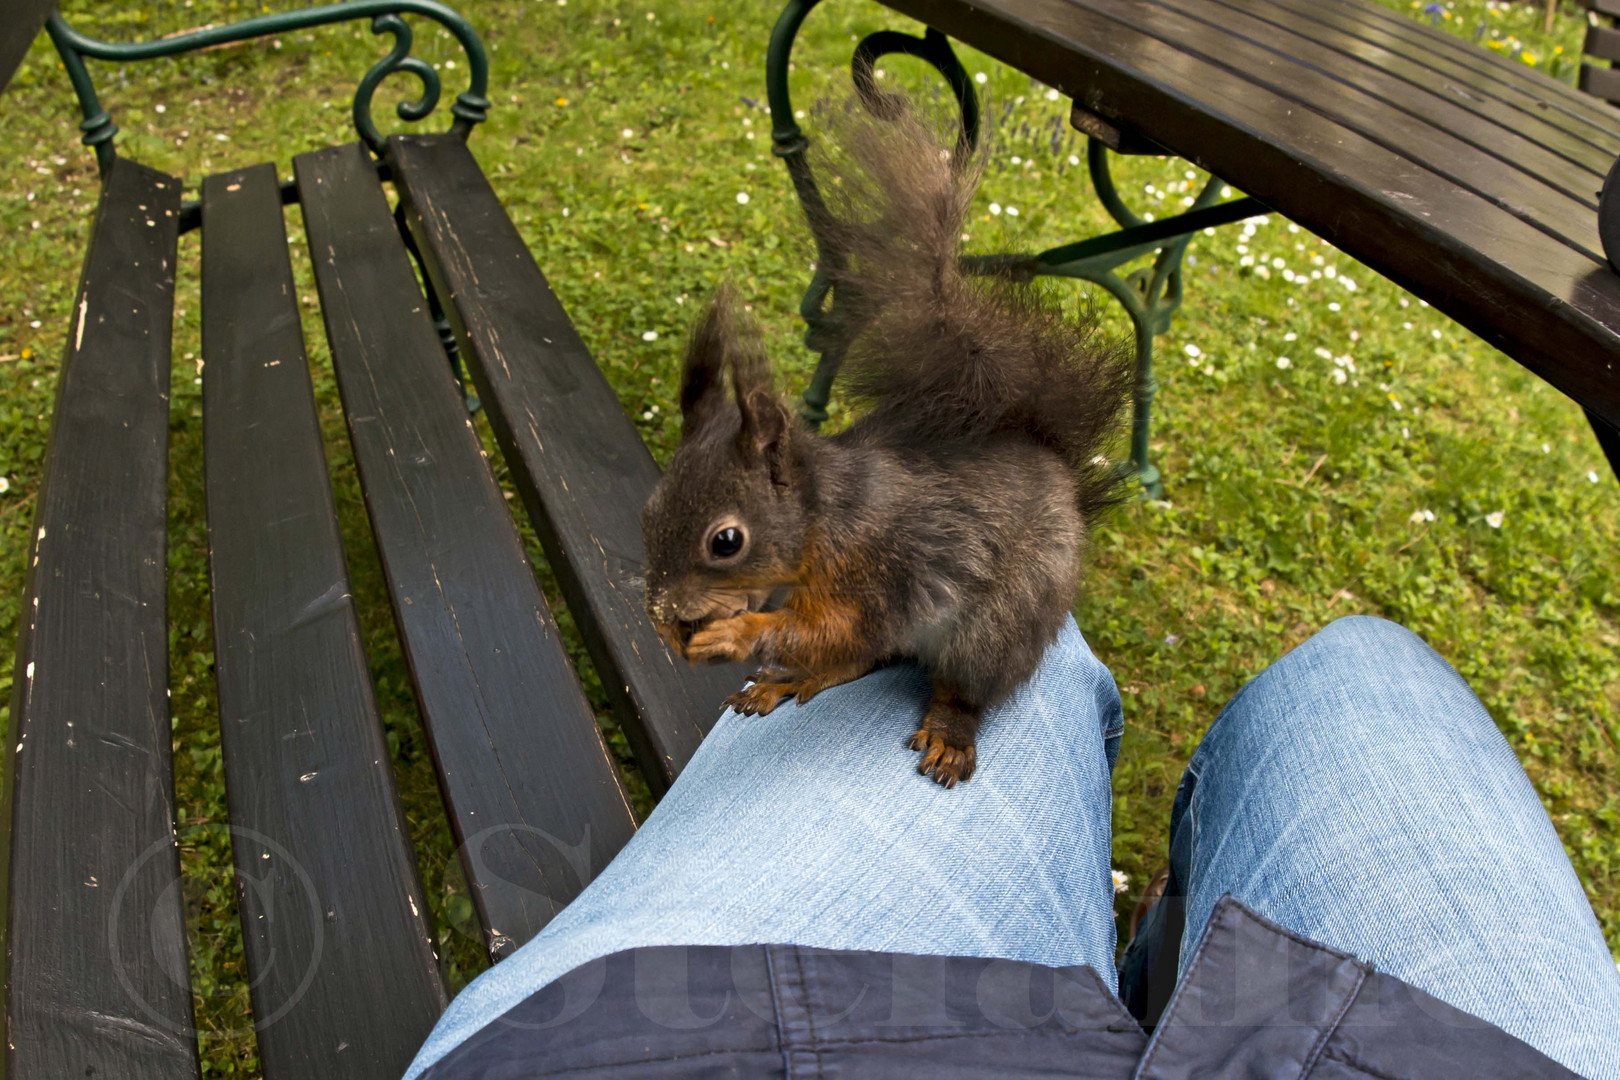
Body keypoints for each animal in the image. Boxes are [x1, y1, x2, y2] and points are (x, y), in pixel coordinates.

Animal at [638, 97, 1134, 790]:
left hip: (1000, 622)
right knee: (863, 658)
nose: (662, 612)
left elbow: (835, 628)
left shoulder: (876, 568)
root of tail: (1062, 480)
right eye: (649, 512)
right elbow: (840, 641)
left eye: (727, 541)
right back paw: (790, 682)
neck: (820, 522)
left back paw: (949, 731)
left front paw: (736, 635)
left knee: (954, 682)